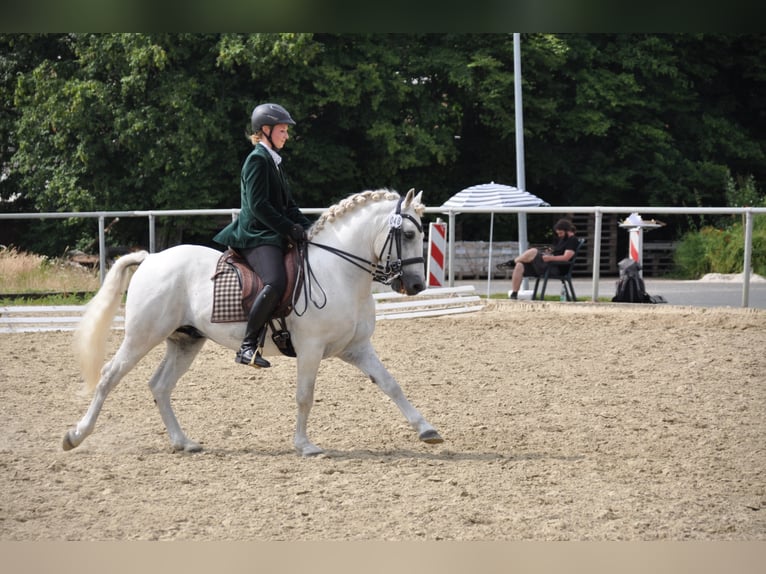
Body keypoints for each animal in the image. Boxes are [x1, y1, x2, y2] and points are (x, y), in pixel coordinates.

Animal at [63, 188, 443, 456]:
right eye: (409, 235)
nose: (416, 286)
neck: (340, 271)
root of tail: (150, 257)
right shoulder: (311, 349)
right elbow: (305, 395)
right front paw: (305, 445)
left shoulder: (356, 348)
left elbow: (391, 384)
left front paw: (427, 431)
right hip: (143, 335)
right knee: (109, 376)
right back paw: (75, 435)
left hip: (185, 340)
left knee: (159, 385)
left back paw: (183, 442)